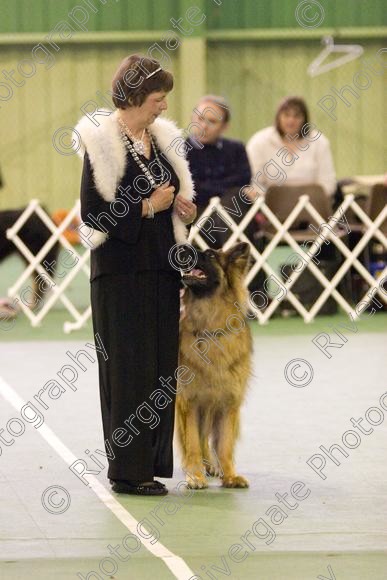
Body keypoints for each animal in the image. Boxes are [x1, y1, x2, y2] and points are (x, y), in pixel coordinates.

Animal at [177, 241, 253, 490]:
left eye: (209, 254)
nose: (182, 247)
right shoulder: (189, 402)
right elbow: (191, 442)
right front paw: (195, 476)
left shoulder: (228, 403)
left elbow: (225, 444)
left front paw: (229, 475)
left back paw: (212, 466)